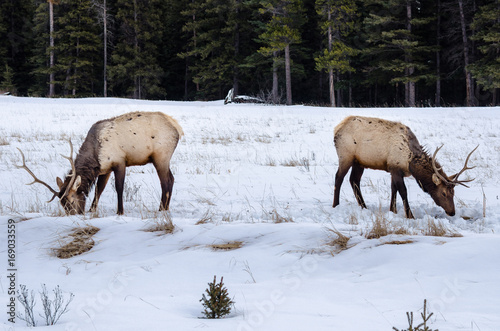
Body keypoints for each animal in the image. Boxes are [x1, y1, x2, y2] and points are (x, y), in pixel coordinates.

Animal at [15, 111, 185, 215]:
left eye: (71, 200)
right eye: (62, 204)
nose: (74, 214)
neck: (95, 156)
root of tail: (177, 128)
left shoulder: (120, 162)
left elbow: (119, 188)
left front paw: (120, 211)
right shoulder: (105, 169)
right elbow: (99, 189)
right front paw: (92, 210)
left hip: (161, 156)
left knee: (165, 181)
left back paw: (161, 209)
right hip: (163, 159)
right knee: (172, 179)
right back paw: (166, 208)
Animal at [332, 115, 476, 219]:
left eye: (453, 193)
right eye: (444, 193)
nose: (452, 212)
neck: (410, 161)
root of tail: (336, 129)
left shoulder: (392, 169)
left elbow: (393, 189)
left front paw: (393, 210)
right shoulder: (395, 168)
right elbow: (403, 191)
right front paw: (410, 215)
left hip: (359, 162)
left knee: (354, 180)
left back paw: (363, 207)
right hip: (346, 156)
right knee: (339, 178)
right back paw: (336, 205)